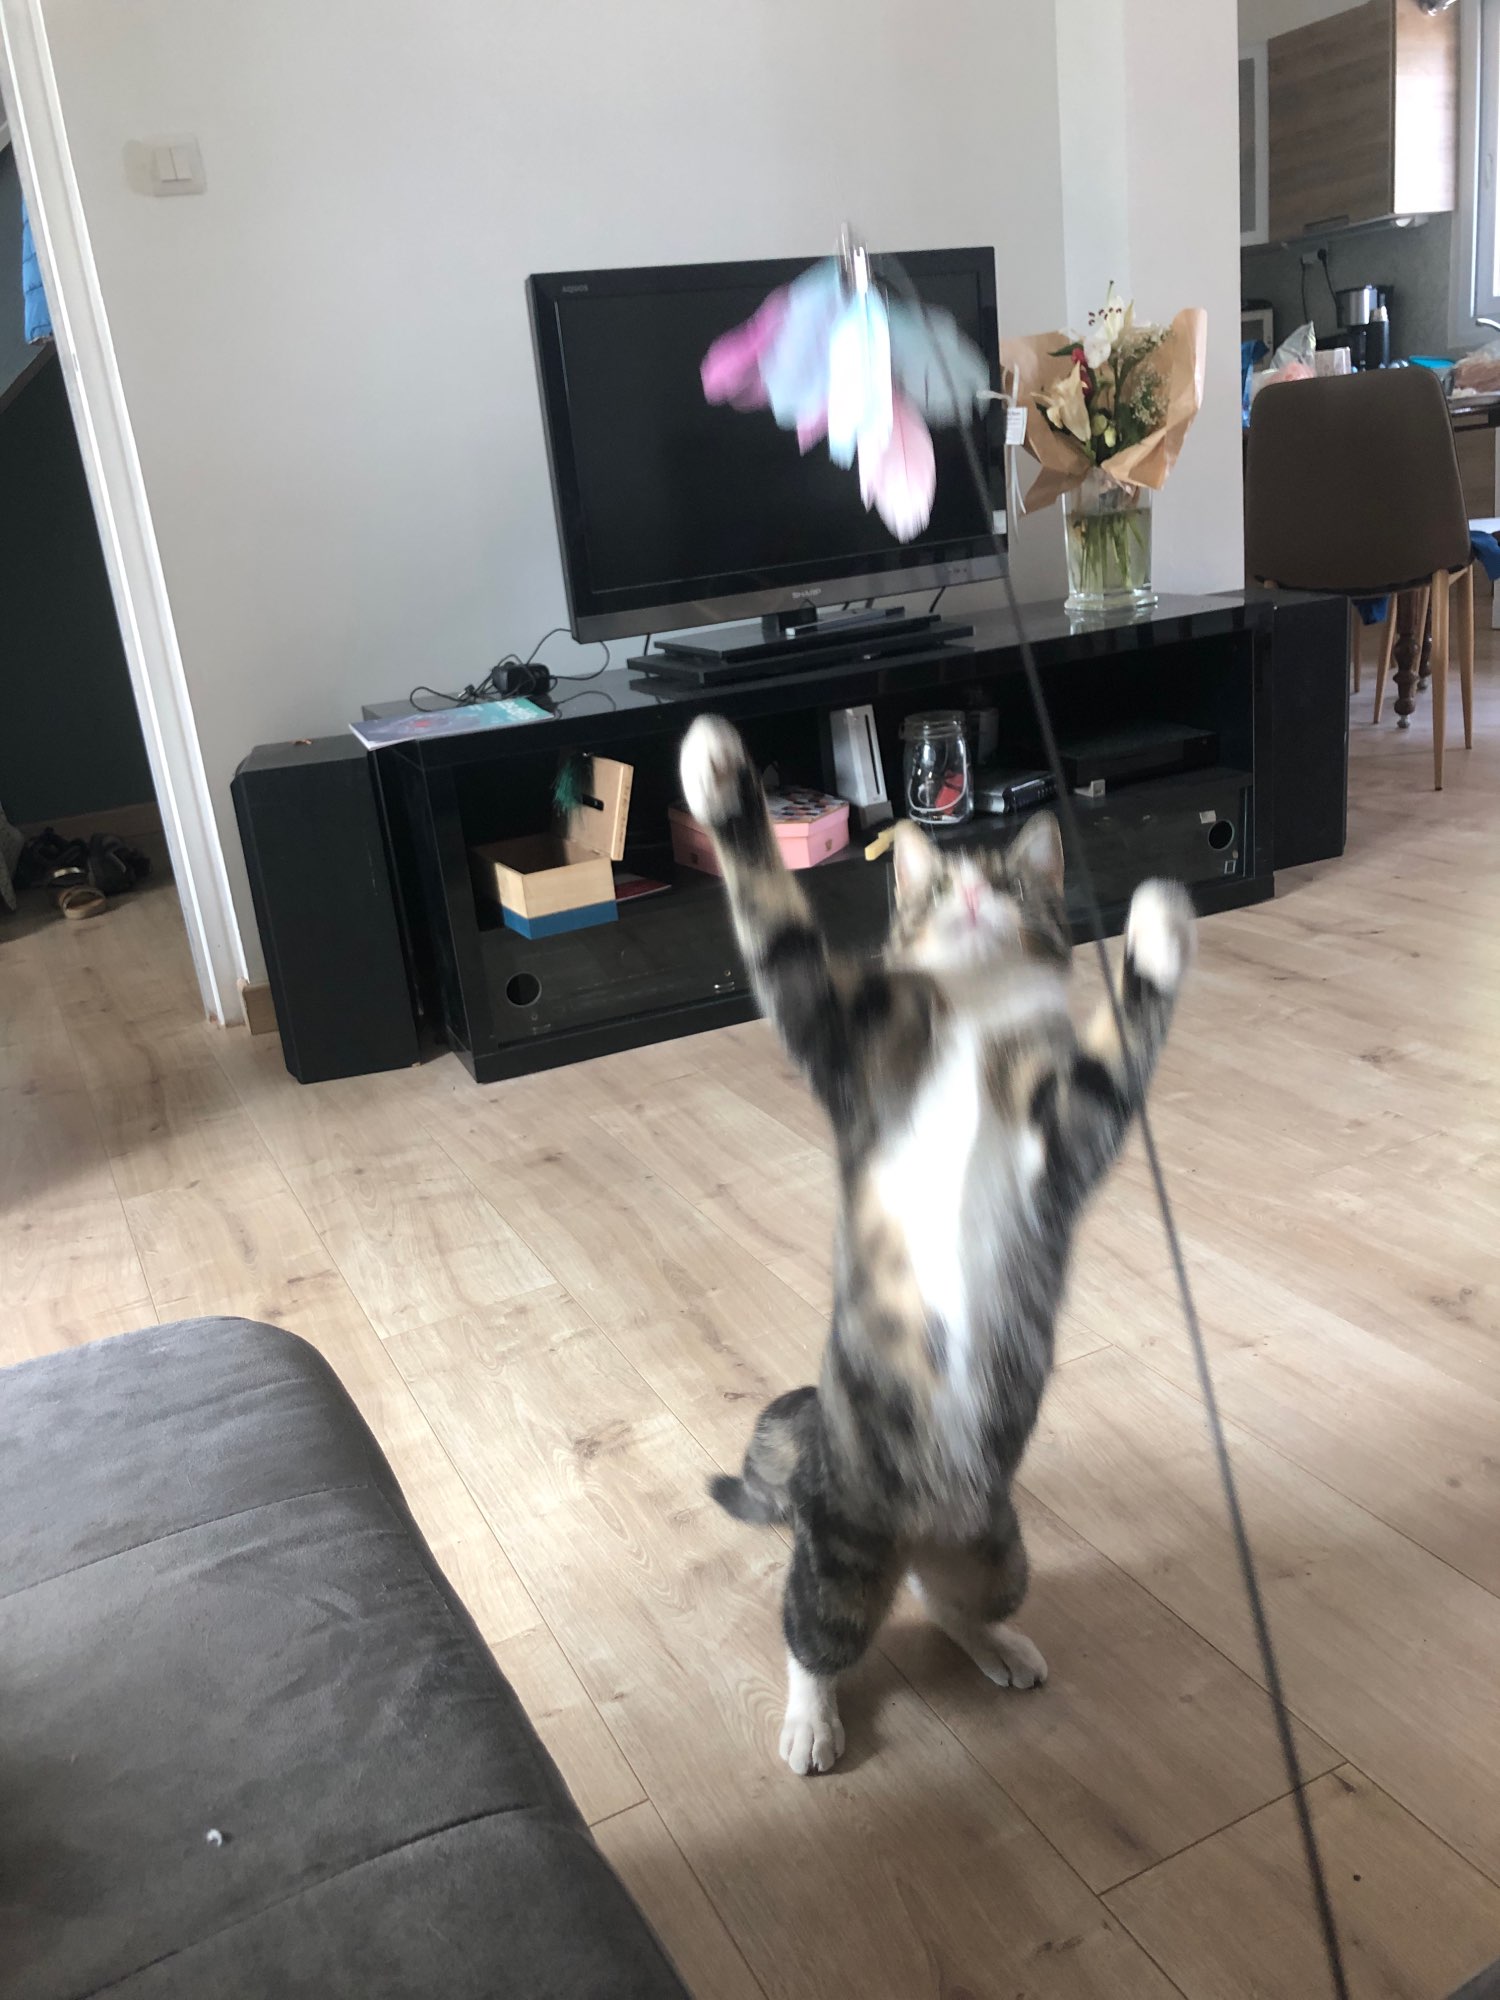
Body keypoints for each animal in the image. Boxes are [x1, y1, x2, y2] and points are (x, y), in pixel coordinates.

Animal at [679, 713, 1195, 1775]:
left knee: (952, 1601)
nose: (967, 891)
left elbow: (1118, 1053)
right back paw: (811, 1721)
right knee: (812, 1631)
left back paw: (1000, 1645)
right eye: (934, 885)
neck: (974, 1022)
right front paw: (719, 772)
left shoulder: (1065, 1136)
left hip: (998, 1548)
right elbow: (778, 929)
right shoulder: (841, 1046)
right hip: (842, 1550)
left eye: (1008, 882)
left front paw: (1161, 929)